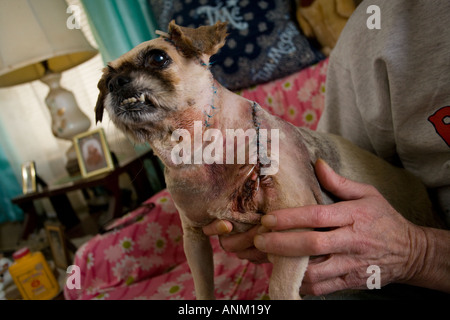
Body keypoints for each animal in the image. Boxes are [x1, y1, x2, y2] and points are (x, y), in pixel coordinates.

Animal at [96, 21, 440, 298]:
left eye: (158, 58)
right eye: (104, 82)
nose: (114, 83)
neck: (197, 152)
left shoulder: (291, 231)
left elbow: (279, 288)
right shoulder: (195, 241)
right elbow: (203, 285)